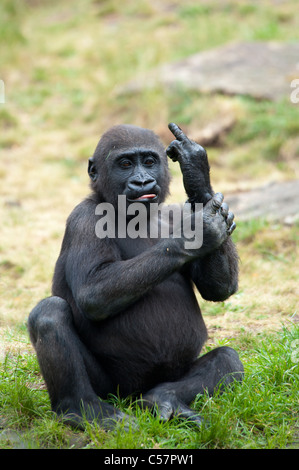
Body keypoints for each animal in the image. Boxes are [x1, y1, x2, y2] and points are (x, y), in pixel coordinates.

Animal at [27, 122, 244, 430]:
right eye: (126, 164)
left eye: (149, 162)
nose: (142, 182)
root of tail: (133, 396)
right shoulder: (83, 219)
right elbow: (93, 293)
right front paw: (198, 232)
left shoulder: (175, 215)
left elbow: (218, 288)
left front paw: (196, 174)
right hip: (112, 390)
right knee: (49, 313)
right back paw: (82, 409)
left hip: (164, 378)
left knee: (228, 359)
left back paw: (162, 398)